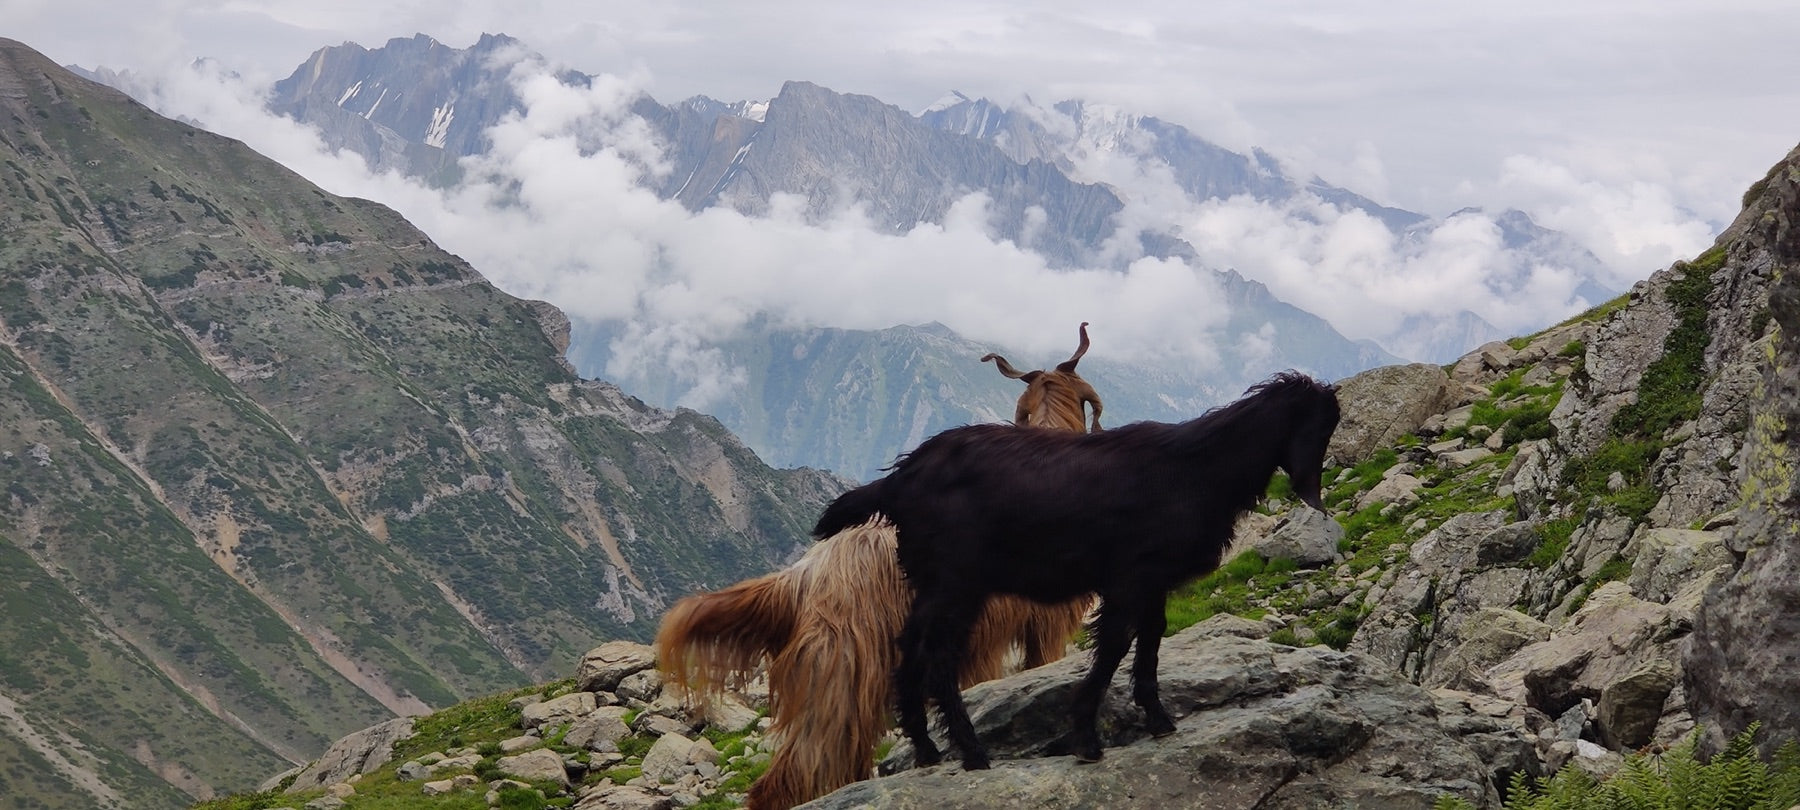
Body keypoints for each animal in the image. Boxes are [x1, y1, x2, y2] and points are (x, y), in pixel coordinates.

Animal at [812, 371, 1340, 768]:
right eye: (1322, 426)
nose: (1313, 493)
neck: (1198, 468)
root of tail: (900, 480)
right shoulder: (1128, 577)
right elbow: (1113, 647)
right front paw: (1086, 737)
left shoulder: (1153, 582)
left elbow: (1150, 642)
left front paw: (1158, 719)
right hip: (957, 582)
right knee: (939, 654)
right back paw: (973, 751)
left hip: (934, 583)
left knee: (909, 645)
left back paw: (925, 748)